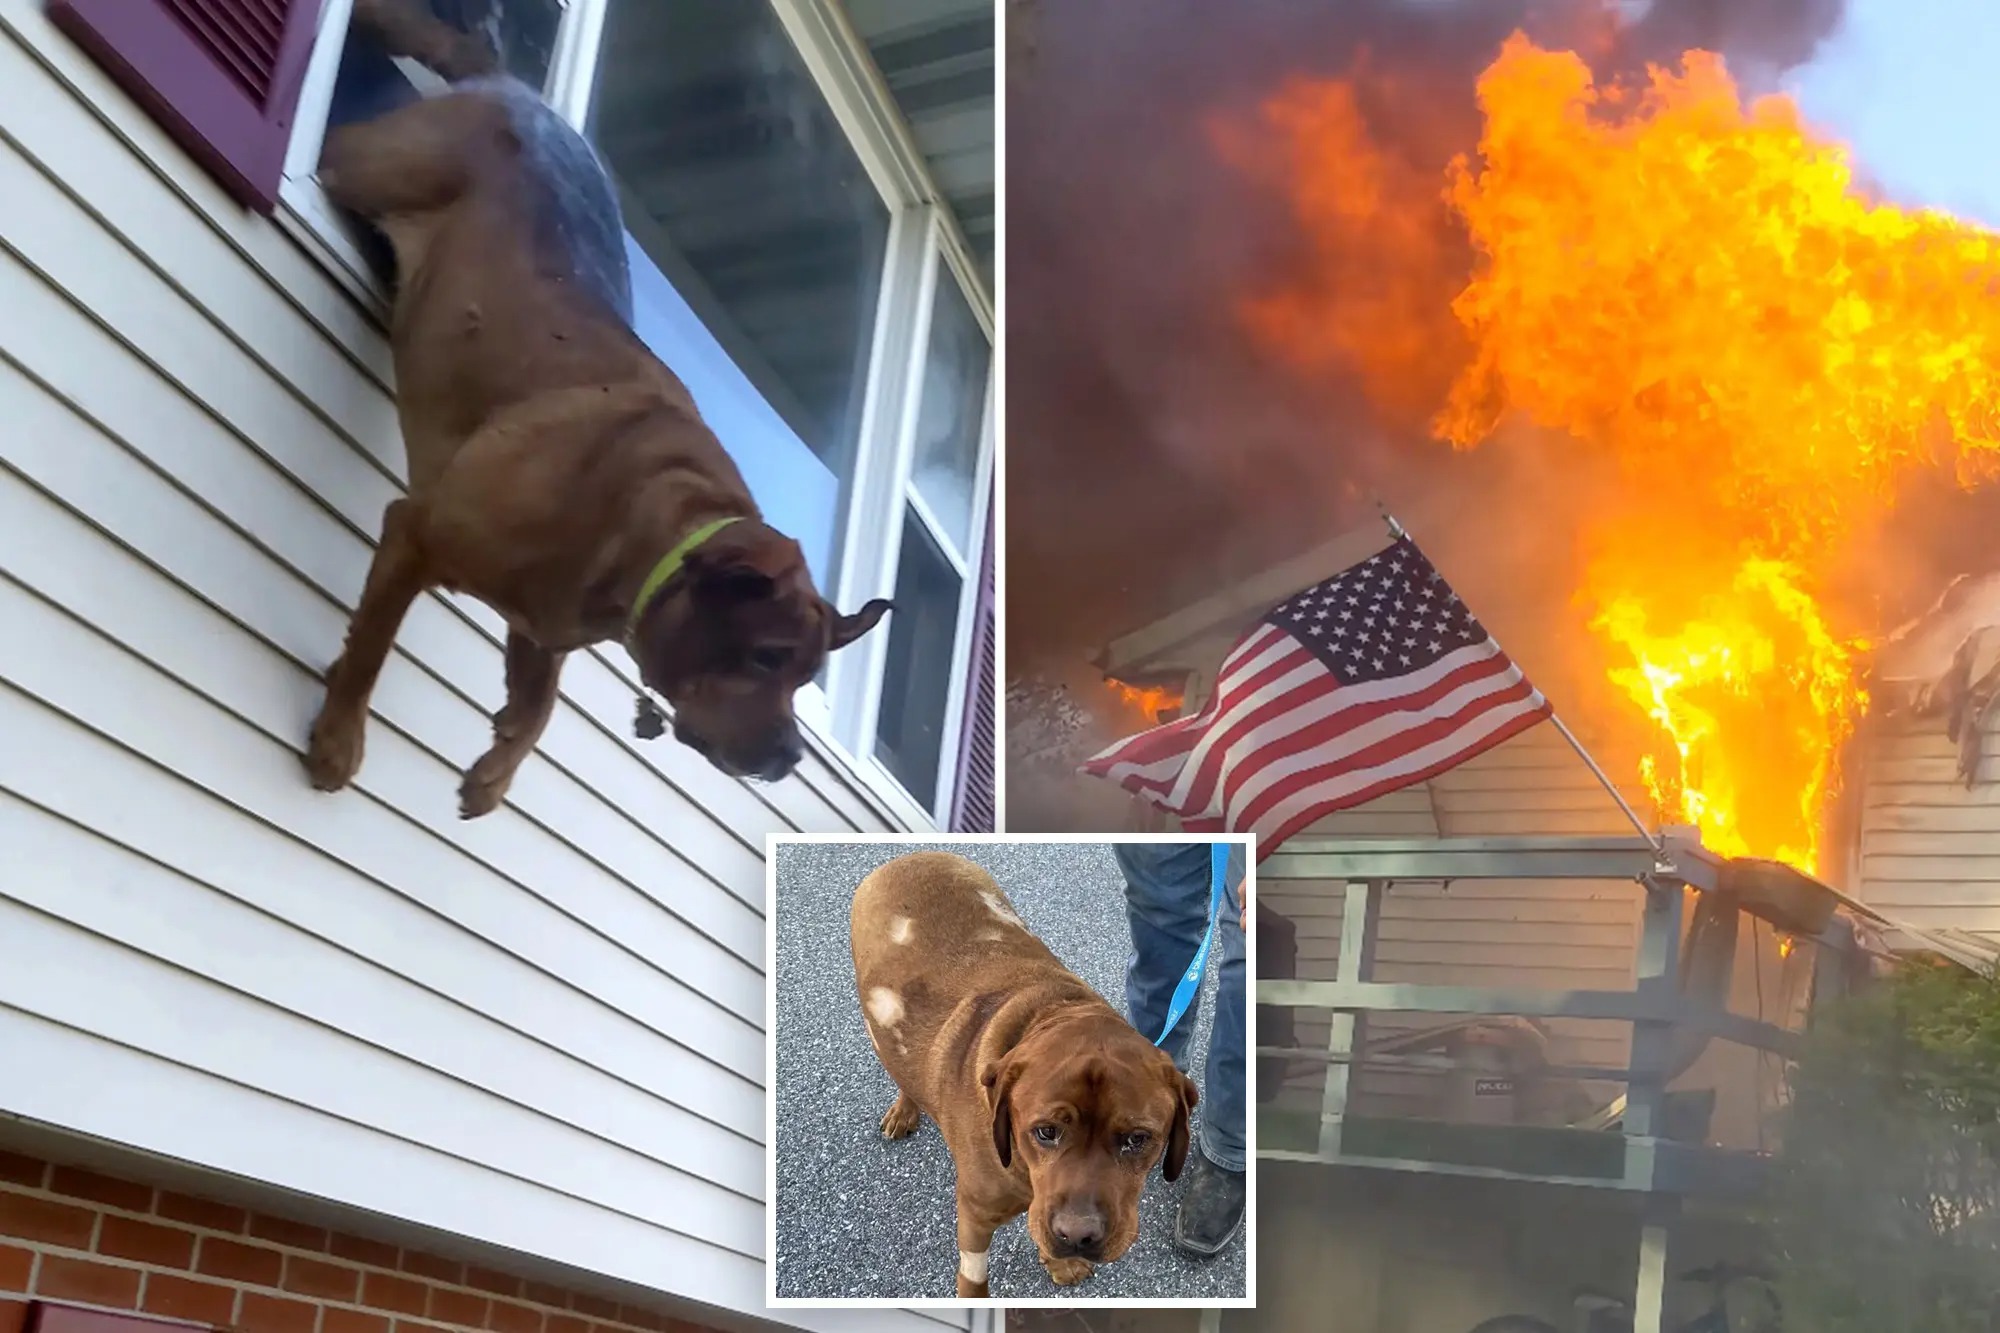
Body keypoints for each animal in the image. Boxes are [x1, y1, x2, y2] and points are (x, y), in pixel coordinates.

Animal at [298, 0, 892, 816]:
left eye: (804, 678)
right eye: (767, 657)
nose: (789, 757)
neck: (635, 529)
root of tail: (515, 88)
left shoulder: (539, 628)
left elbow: (539, 706)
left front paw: (495, 775)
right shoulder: (412, 533)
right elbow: (371, 646)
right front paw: (338, 738)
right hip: (367, 163)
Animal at [848, 844, 1192, 1288]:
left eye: (1137, 1139)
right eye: (1045, 1131)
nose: (1078, 1235)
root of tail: (910, 857)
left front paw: (1060, 1263)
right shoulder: (975, 1216)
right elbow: (974, 1282)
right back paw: (905, 1107)